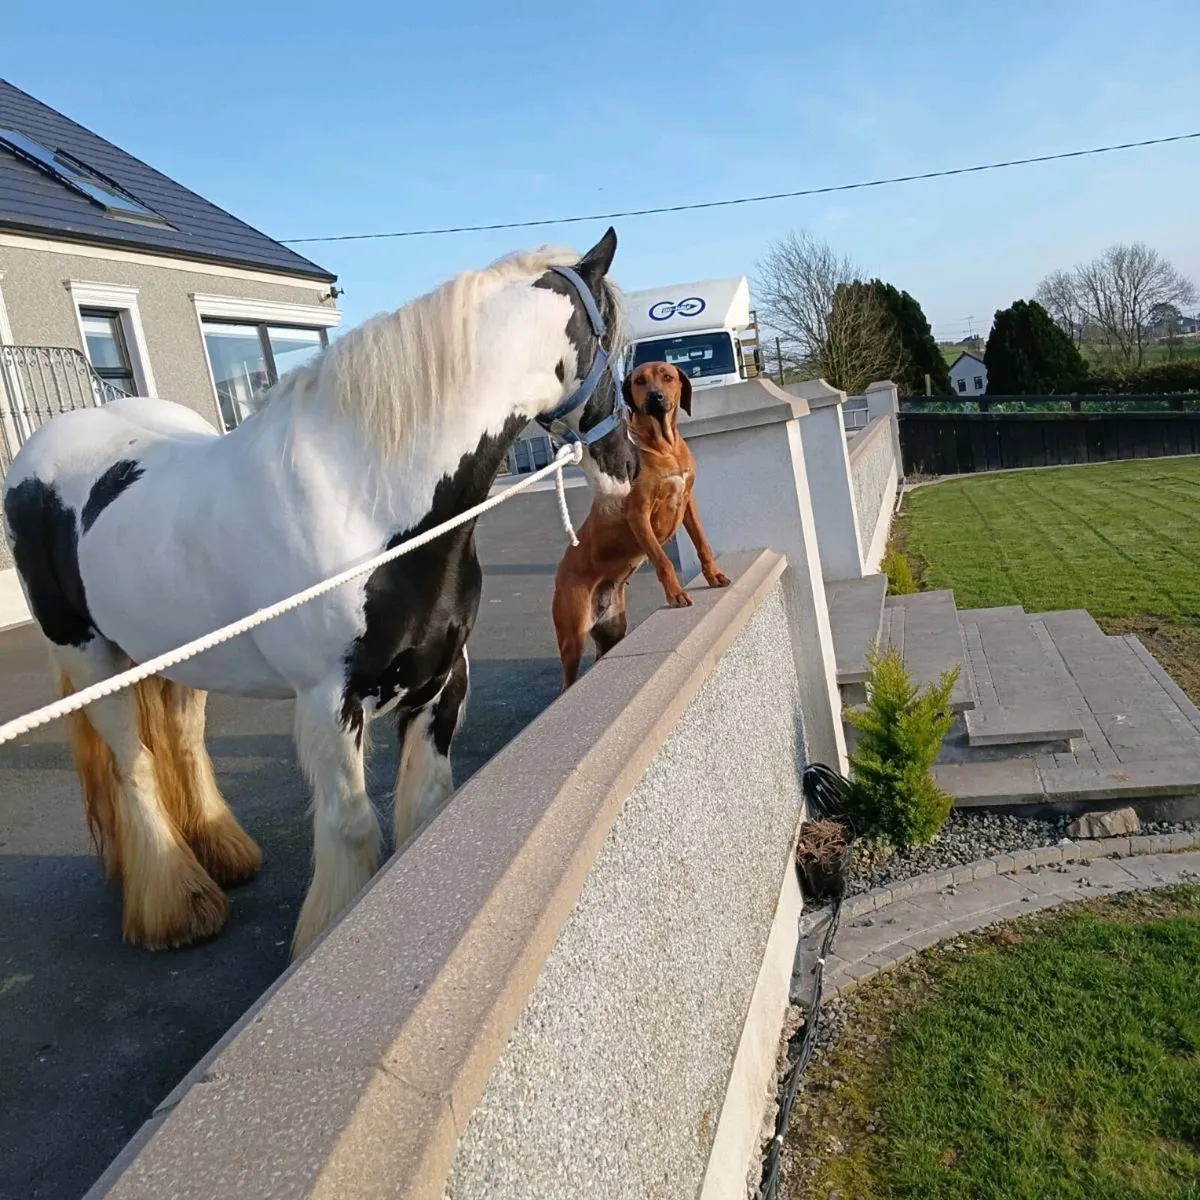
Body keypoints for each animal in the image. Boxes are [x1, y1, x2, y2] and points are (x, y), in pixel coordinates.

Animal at [2, 227, 637, 959]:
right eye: (614, 340)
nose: (627, 464)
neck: (364, 493)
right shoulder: (331, 705)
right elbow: (352, 827)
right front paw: (330, 936)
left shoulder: (442, 679)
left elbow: (428, 806)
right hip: (89, 659)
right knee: (131, 764)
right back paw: (177, 907)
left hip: (176, 658)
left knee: (182, 743)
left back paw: (222, 855)